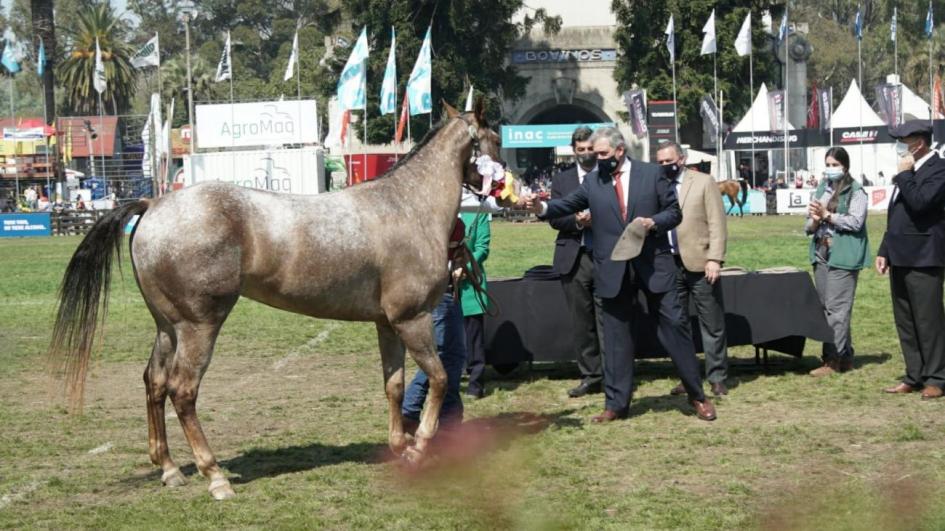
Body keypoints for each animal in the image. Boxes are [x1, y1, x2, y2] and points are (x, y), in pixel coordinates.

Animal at [49, 101, 502, 502]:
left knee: (154, 383)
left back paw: (170, 469)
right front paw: (419, 446)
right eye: (496, 138)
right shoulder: (414, 319)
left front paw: (398, 446)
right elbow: (439, 378)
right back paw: (215, 477)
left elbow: (393, 385)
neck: (407, 206)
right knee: (183, 390)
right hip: (199, 326)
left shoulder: (387, 324)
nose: (505, 187)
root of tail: (154, 203)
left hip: (167, 327)